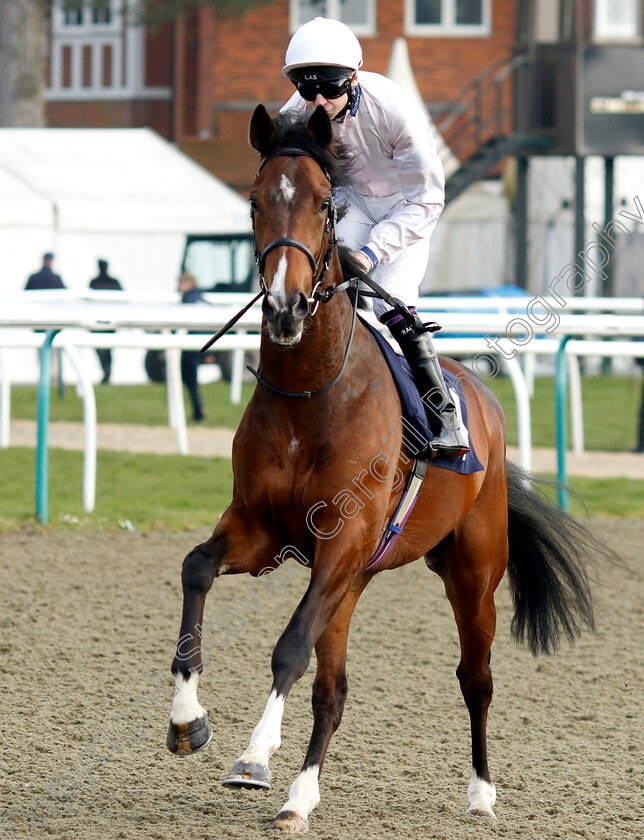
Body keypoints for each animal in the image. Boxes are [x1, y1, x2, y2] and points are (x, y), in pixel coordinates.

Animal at [167, 103, 604, 832]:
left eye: (326, 205)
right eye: (255, 202)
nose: (284, 308)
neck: (312, 394)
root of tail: (480, 398)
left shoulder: (342, 540)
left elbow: (288, 644)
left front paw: (254, 755)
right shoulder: (265, 530)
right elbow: (196, 568)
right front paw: (186, 721)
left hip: (470, 571)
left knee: (475, 678)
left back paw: (481, 794)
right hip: (354, 580)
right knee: (333, 689)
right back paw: (300, 798)